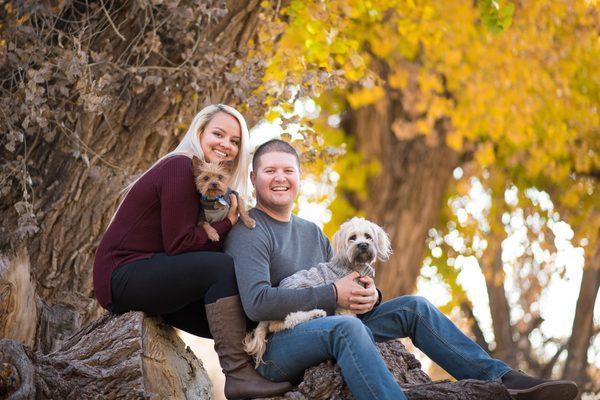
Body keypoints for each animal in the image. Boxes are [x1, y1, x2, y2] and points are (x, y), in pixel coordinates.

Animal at [241, 216, 392, 366]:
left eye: (368, 236)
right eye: (352, 238)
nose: (363, 245)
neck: (353, 265)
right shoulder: (345, 304)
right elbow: (349, 316)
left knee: (276, 326)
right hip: (298, 292)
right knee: (291, 318)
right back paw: (315, 314)